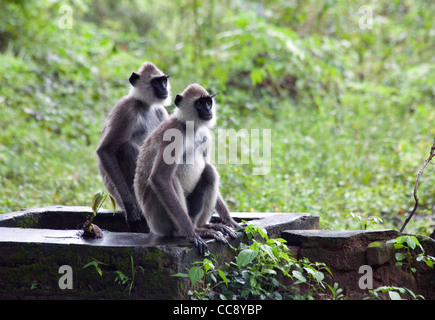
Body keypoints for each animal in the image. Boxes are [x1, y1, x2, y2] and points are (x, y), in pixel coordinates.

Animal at [96, 61, 171, 231]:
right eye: (156, 82)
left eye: (164, 81)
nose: (164, 88)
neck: (145, 105)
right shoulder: (126, 109)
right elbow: (105, 150)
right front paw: (130, 207)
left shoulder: (161, 112)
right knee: (126, 147)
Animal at [135, 82, 240, 255]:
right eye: (199, 103)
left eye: (208, 102)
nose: (208, 110)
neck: (190, 127)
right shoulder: (174, 134)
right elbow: (159, 178)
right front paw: (192, 234)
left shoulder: (205, 135)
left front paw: (230, 221)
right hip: (158, 220)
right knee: (169, 179)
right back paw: (189, 231)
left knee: (210, 171)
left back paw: (204, 226)